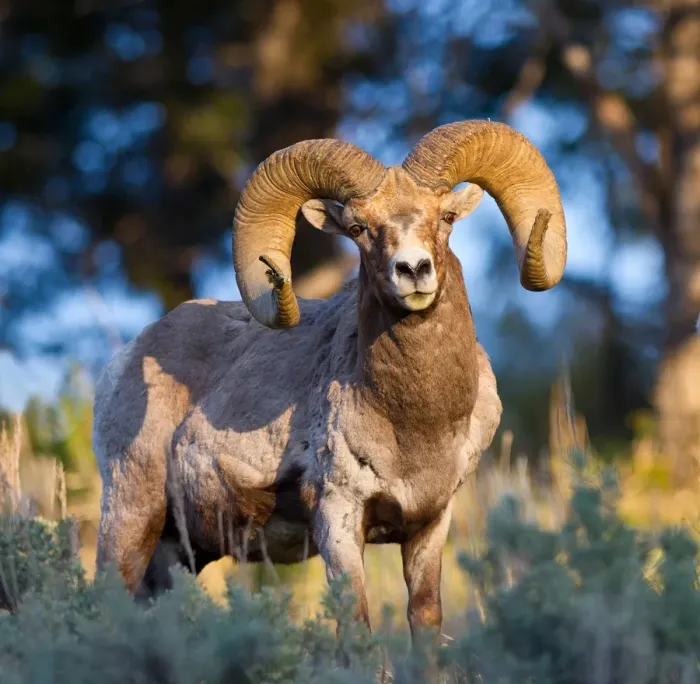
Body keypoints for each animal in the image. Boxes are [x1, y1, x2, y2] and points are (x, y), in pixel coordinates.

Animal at [93, 120, 567, 640]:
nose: (413, 270)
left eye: (446, 217)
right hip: (131, 518)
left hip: (180, 552)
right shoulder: (338, 520)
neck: (415, 425)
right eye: (358, 229)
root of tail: (124, 361)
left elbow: (424, 620)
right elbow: (356, 626)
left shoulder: (429, 525)